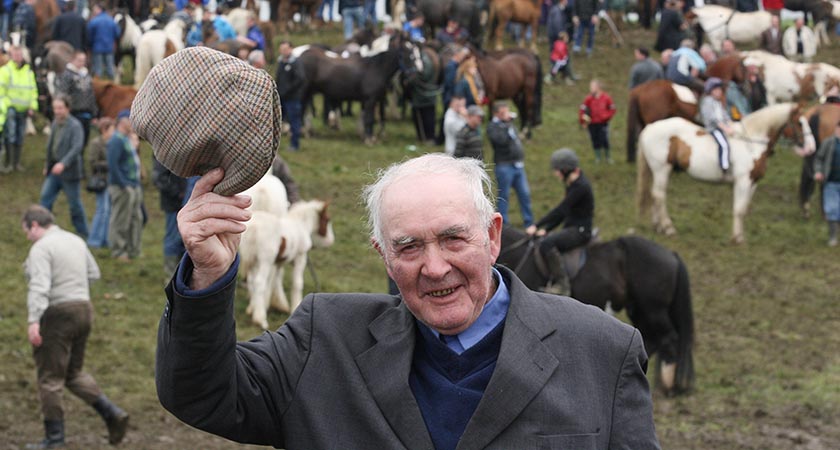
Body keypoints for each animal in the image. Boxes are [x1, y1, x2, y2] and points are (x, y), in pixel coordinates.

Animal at [238, 199, 334, 328]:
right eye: (327, 219)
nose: (331, 241)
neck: (300, 225)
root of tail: (254, 228)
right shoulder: (300, 257)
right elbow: (297, 283)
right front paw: (295, 307)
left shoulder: (278, 262)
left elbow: (275, 280)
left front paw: (277, 304)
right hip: (265, 261)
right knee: (259, 282)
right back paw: (260, 319)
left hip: (253, 260)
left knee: (251, 281)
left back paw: (252, 309)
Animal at [498, 227, 696, 396]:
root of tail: (672, 254)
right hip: (639, 310)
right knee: (651, 340)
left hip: (654, 310)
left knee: (669, 339)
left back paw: (664, 386)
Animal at [636, 103, 812, 244]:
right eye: (799, 123)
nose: (811, 148)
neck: (751, 142)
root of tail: (649, 127)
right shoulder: (743, 181)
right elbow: (739, 209)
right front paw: (737, 239)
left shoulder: (753, 182)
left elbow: (744, 209)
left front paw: (740, 236)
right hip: (661, 169)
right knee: (659, 195)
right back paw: (668, 228)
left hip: (661, 170)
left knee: (655, 195)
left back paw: (658, 227)